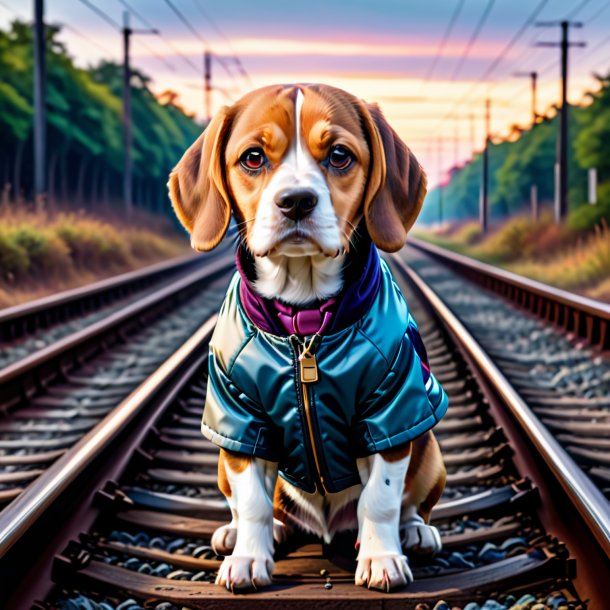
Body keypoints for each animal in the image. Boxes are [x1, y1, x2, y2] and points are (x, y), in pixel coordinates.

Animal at [166, 83, 446, 592]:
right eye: (253, 157)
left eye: (338, 155)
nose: (296, 200)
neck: (304, 320)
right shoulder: (240, 419)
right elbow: (253, 501)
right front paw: (248, 558)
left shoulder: (393, 409)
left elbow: (381, 498)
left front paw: (381, 559)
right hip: (222, 460)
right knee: (255, 506)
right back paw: (242, 533)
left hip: (431, 448)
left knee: (411, 504)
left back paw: (415, 532)